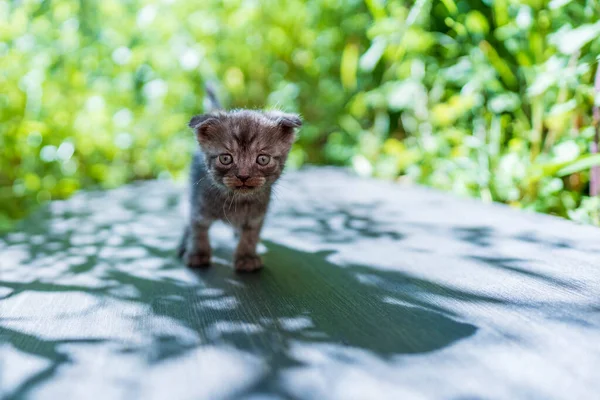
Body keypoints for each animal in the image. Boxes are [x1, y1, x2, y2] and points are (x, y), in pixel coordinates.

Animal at [177, 87, 300, 272]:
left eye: (262, 159)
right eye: (225, 158)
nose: (243, 175)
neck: (236, 201)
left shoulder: (256, 215)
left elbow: (250, 235)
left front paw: (246, 256)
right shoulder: (198, 206)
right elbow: (198, 229)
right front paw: (198, 253)